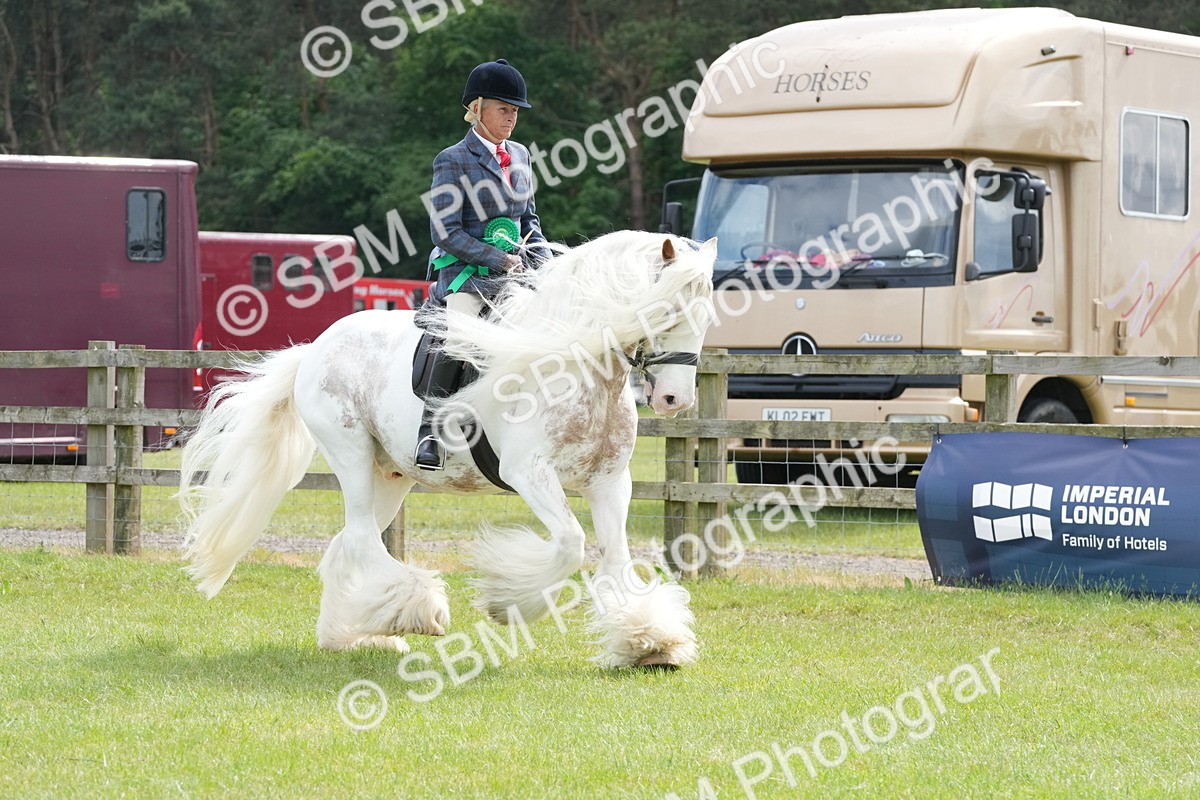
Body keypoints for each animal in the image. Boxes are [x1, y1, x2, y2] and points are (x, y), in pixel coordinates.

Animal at [177, 231, 717, 668]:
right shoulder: (529, 472)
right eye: (666, 310)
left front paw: (649, 642)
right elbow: (569, 544)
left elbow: (617, 559)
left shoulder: (609, 481)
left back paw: (354, 636)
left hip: (389, 475)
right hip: (350, 454)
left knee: (345, 545)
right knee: (361, 539)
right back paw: (422, 613)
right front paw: (506, 601)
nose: (674, 400)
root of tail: (315, 347)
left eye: (707, 316)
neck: (575, 364)